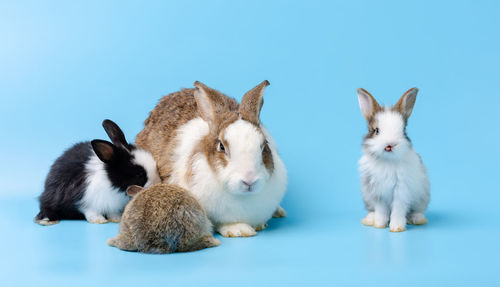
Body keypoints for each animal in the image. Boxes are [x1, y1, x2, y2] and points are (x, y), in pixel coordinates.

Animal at [356, 88, 430, 234]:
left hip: (422, 197)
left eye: (403, 130)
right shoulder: (377, 192)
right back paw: (369, 219)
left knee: (415, 211)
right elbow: (381, 210)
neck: (387, 160)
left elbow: (398, 210)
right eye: (376, 130)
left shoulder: (401, 190)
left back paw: (417, 219)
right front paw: (379, 224)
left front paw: (396, 228)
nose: (390, 145)